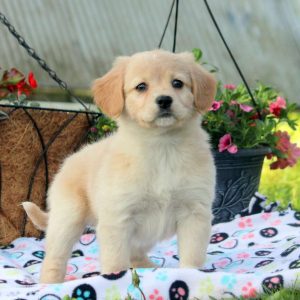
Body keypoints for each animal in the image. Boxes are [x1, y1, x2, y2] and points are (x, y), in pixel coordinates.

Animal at [22, 49, 216, 284]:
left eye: (177, 83)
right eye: (141, 86)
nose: (164, 100)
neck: (162, 148)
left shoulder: (194, 212)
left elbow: (192, 257)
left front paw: (192, 275)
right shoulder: (118, 219)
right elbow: (115, 262)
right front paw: (115, 280)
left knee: (135, 254)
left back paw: (150, 268)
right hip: (67, 218)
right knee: (54, 258)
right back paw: (49, 284)